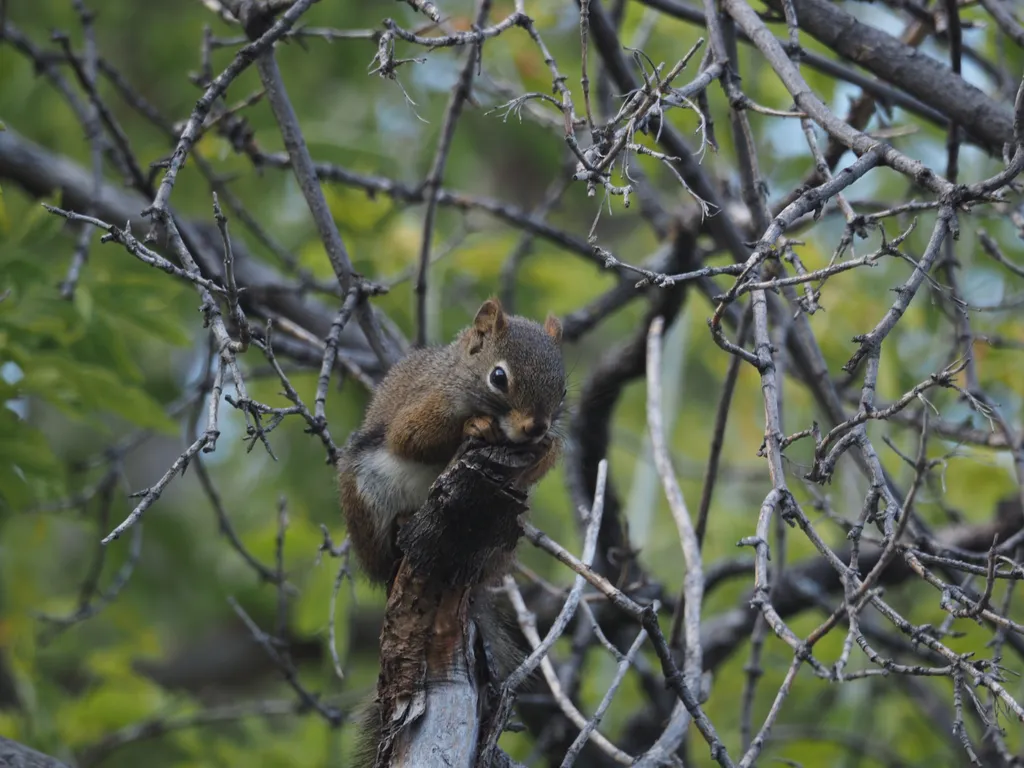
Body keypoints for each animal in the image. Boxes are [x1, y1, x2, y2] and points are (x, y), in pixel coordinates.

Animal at [337, 297, 567, 588]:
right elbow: (408, 438)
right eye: (498, 377)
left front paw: (543, 448)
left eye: (563, 391)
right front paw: (475, 425)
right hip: (366, 500)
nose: (535, 427)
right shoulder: (426, 401)